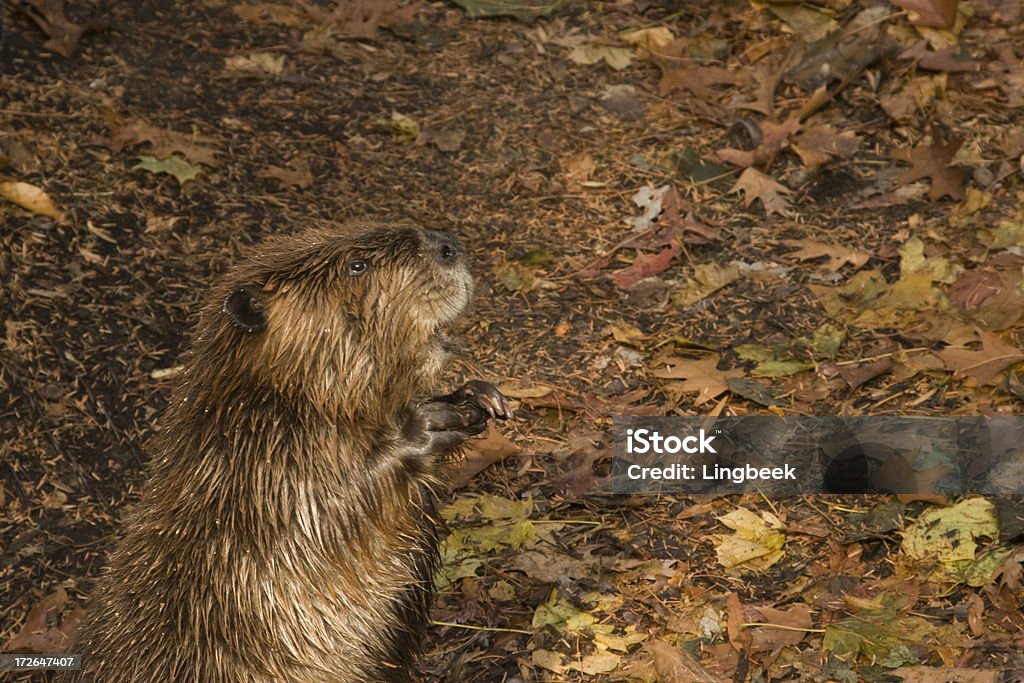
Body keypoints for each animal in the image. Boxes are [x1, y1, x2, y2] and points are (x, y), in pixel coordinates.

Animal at [61, 222, 512, 679]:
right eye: (357, 265)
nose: (447, 246)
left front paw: (476, 397)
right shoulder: (259, 474)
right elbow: (323, 518)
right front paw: (430, 421)